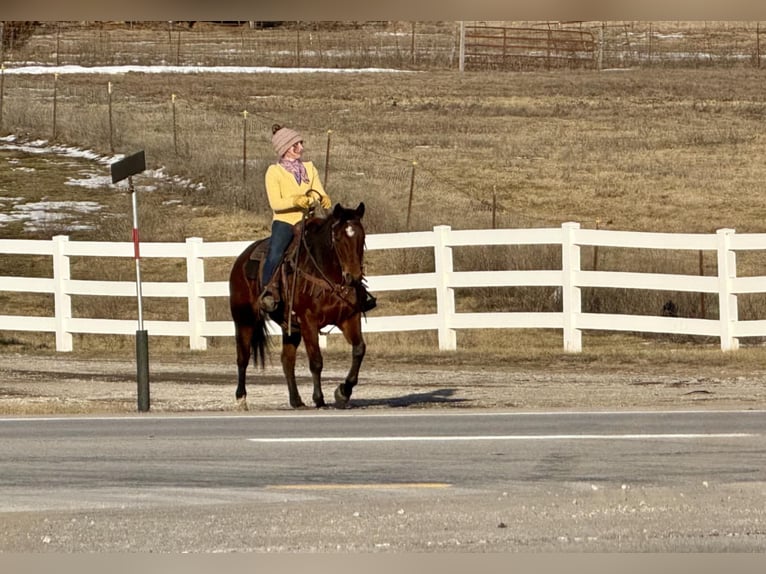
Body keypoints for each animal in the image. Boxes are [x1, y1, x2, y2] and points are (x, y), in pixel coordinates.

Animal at [228, 202, 368, 410]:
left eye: (362, 236)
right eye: (338, 238)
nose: (354, 277)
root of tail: (241, 259)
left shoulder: (349, 317)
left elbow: (359, 349)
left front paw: (343, 392)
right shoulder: (308, 320)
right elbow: (316, 360)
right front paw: (319, 398)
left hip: (290, 326)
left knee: (287, 360)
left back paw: (296, 400)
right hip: (244, 319)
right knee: (243, 357)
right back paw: (241, 398)